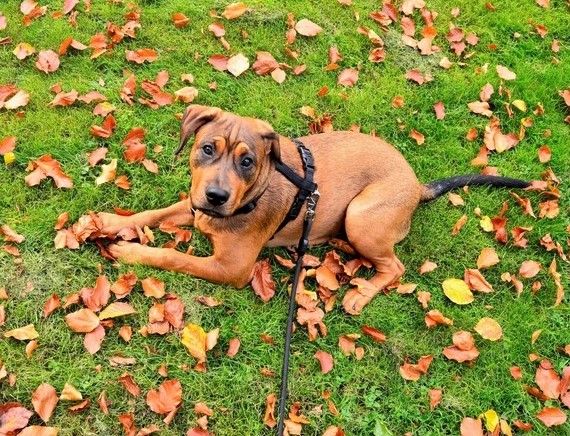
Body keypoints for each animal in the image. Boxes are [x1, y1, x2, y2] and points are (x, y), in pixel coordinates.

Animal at [97, 106, 528, 314]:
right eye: (207, 149)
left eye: (247, 161)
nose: (217, 196)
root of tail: (416, 183)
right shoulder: (194, 206)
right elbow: (153, 213)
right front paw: (111, 221)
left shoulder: (232, 268)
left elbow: (175, 257)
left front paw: (131, 251)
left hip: (361, 216)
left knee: (394, 266)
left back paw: (361, 295)